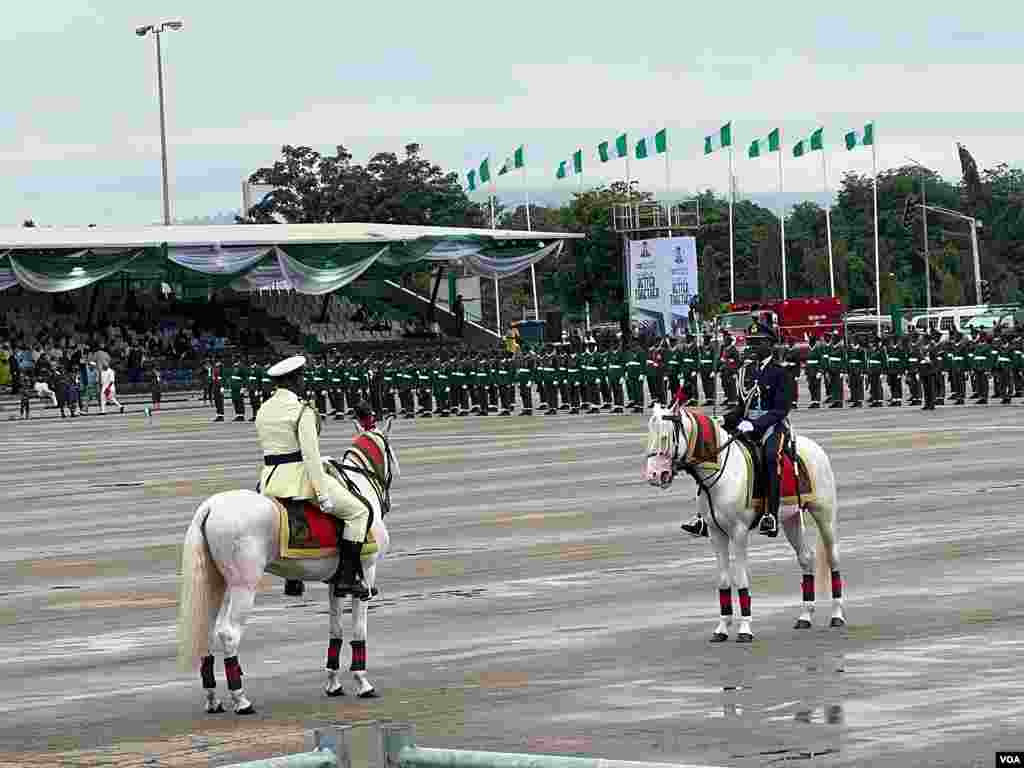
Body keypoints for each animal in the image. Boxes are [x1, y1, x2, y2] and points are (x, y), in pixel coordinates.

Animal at [176, 423, 399, 712]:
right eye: (391, 451)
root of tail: (210, 506)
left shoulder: (337, 583)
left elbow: (335, 629)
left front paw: (333, 683)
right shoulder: (366, 576)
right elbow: (359, 630)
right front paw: (363, 683)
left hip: (216, 584)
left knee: (207, 631)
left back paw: (213, 698)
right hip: (244, 586)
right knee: (229, 634)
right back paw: (241, 699)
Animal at [643, 403, 843, 643]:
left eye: (665, 437)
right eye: (650, 435)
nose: (655, 475)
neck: (722, 472)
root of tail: (815, 448)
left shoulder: (738, 532)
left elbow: (740, 578)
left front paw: (745, 628)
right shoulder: (716, 533)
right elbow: (723, 579)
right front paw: (721, 628)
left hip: (824, 514)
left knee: (833, 558)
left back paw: (837, 615)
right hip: (791, 519)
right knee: (806, 558)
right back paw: (805, 616)